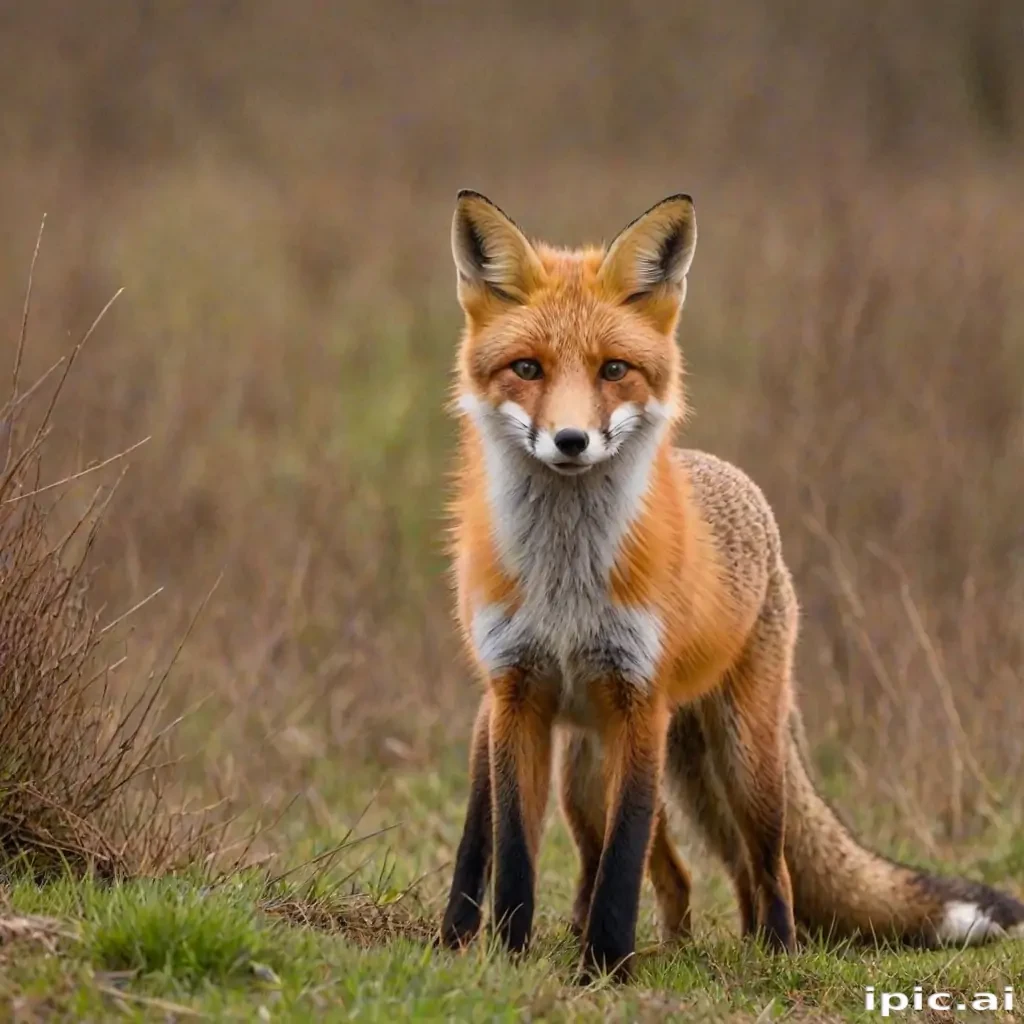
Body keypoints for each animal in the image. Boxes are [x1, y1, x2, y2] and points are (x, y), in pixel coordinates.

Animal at [437, 189, 1024, 979]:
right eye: (526, 368)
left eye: (614, 369)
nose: (571, 442)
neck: (566, 580)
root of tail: (734, 478)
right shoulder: (518, 697)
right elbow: (516, 859)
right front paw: (510, 959)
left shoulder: (639, 703)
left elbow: (622, 868)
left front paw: (605, 971)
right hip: (581, 772)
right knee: (663, 871)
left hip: (743, 761)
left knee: (763, 867)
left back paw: (772, 954)